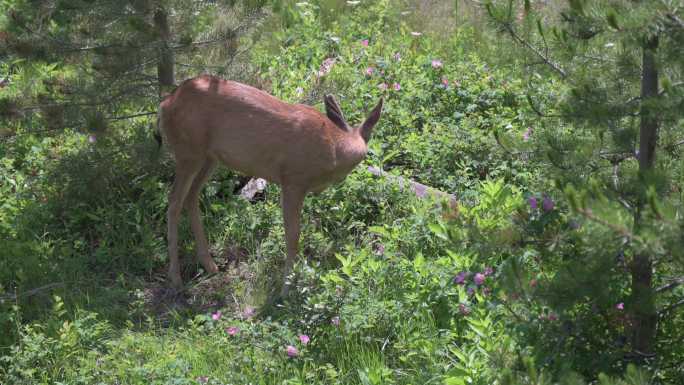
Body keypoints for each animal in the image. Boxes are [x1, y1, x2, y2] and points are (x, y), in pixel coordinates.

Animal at [159, 76, 384, 296]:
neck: (335, 146)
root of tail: (165, 104)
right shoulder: (293, 180)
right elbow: (293, 235)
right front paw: (286, 290)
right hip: (188, 151)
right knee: (174, 200)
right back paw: (176, 278)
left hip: (209, 157)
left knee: (191, 196)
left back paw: (210, 265)